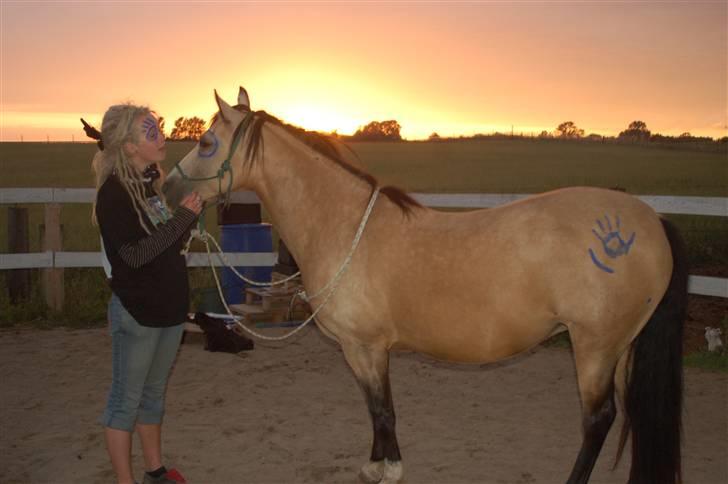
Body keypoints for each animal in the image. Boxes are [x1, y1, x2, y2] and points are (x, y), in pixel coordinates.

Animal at [162, 88, 684, 484]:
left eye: (206, 142)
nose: (165, 187)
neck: (344, 224)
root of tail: (649, 220)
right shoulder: (363, 350)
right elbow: (375, 409)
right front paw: (375, 465)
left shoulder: (366, 347)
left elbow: (382, 409)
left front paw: (388, 469)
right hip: (620, 348)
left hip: (595, 347)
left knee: (599, 421)